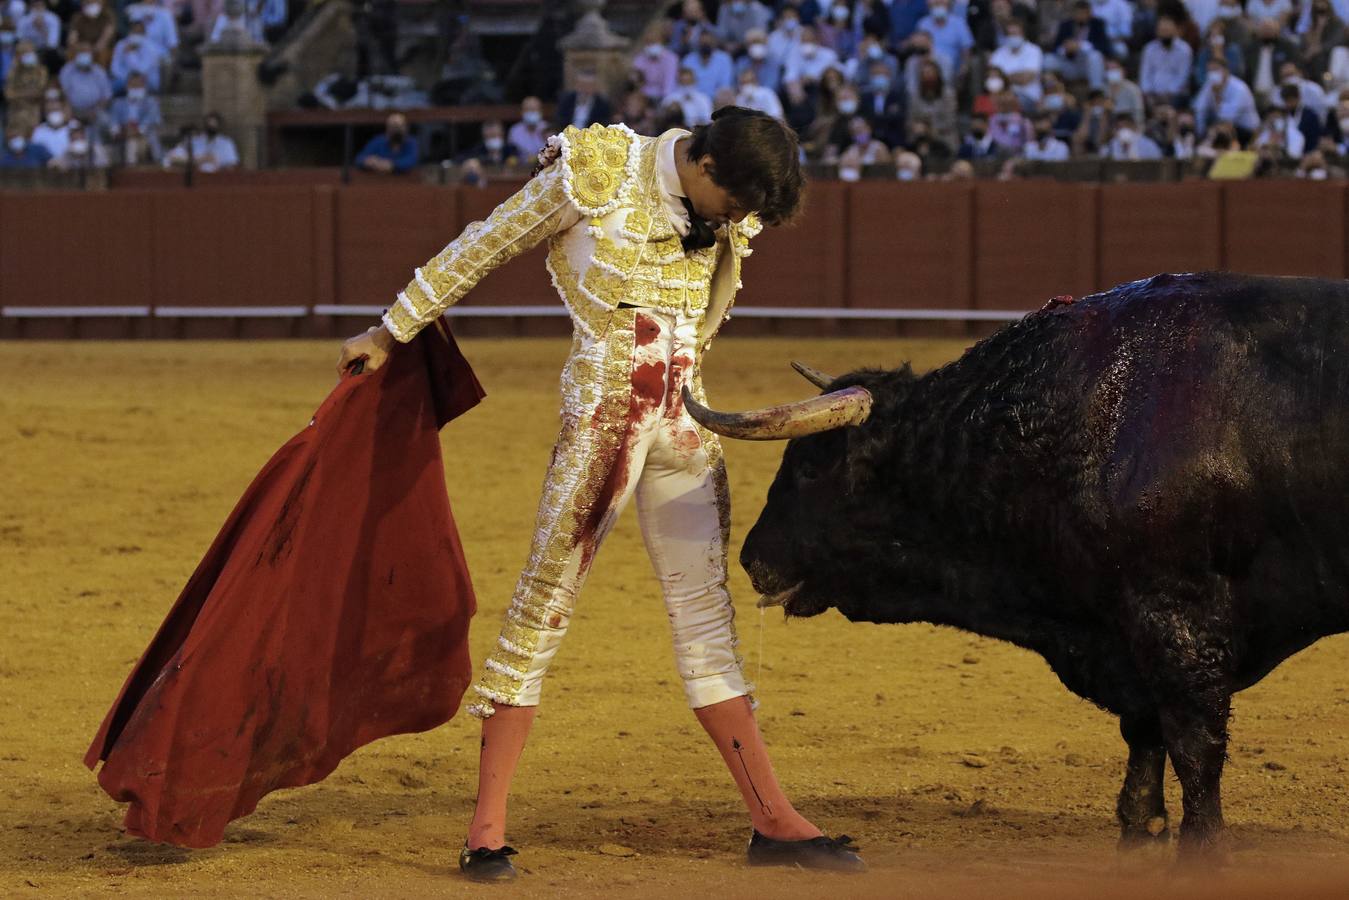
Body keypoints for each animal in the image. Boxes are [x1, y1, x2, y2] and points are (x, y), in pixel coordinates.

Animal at [690, 272, 1343, 858]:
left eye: (808, 469)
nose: (750, 558)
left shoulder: (1177, 620)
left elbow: (1194, 749)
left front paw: (1200, 855)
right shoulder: (1126, 635)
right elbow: (1143, 742)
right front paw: (1142, 836)